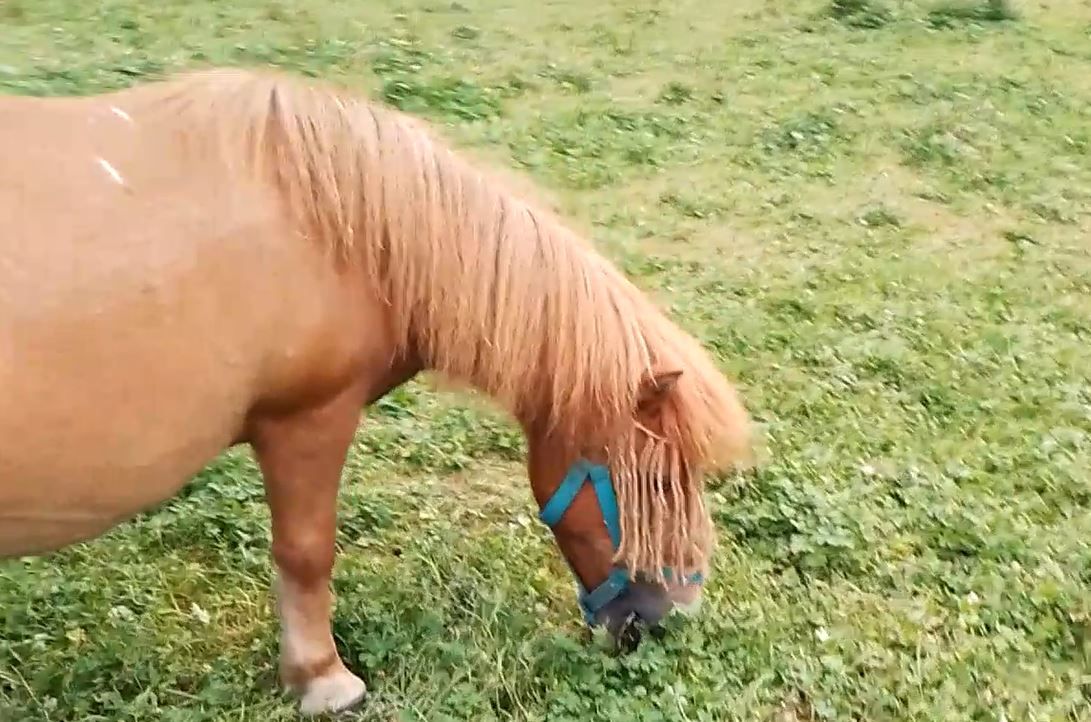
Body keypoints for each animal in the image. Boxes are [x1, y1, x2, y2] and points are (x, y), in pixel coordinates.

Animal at [0, 68, 752, 715]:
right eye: (660, 482)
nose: (671, 619)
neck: (339, 231)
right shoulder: (308, 419)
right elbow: (306, 552)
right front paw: (323, 679)